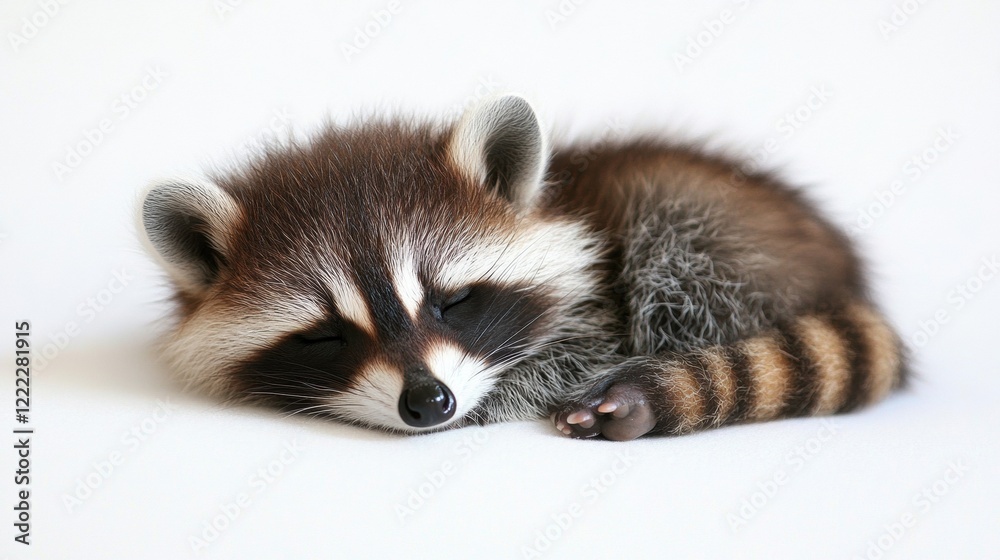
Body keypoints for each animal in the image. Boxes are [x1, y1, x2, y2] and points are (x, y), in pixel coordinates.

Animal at [138, 94, 906, 441]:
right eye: (328, 335)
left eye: (453, 302)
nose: (430, 403)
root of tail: (839, 270)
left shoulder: (600, 295)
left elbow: (575, 348)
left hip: (705, 222)